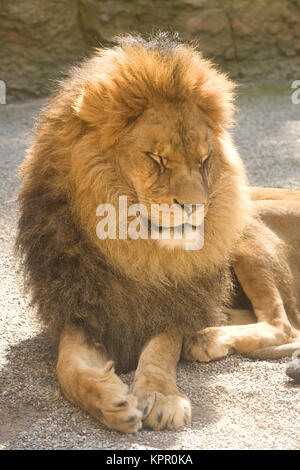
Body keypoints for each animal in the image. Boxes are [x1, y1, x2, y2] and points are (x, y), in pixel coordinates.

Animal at [17, 34, 300, 434]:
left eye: (203, 161)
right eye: (157, 159)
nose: (196, 206)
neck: (134, 249)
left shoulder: (172, 303)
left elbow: (160, 350)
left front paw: (161, 398)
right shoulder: (83, 306)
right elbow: (67, 368)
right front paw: (110, 402)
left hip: (246, 232)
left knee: (285, 325)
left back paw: (208, 338)